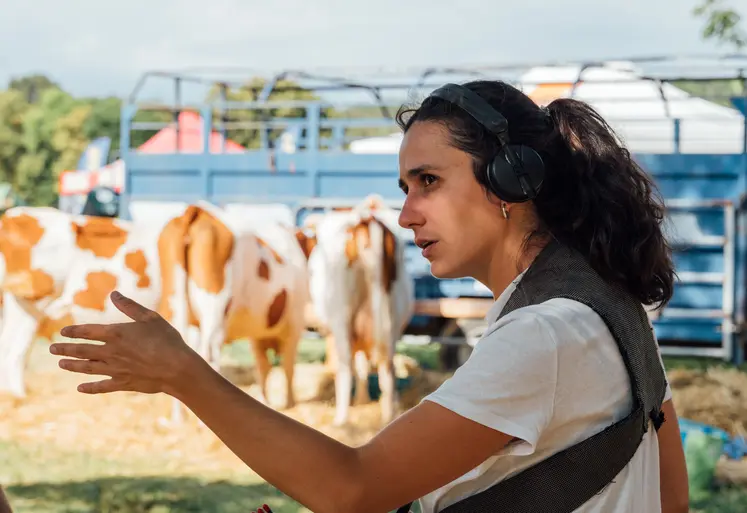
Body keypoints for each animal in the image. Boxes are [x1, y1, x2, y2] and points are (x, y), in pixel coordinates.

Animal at [306, 196, 418, 424]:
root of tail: (367, 220)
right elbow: (364, 366)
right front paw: (362, 400)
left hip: (341, 318)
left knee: (345, 367)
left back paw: (341, 421)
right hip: (391, 320)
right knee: (387, 369)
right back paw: (387, 416)